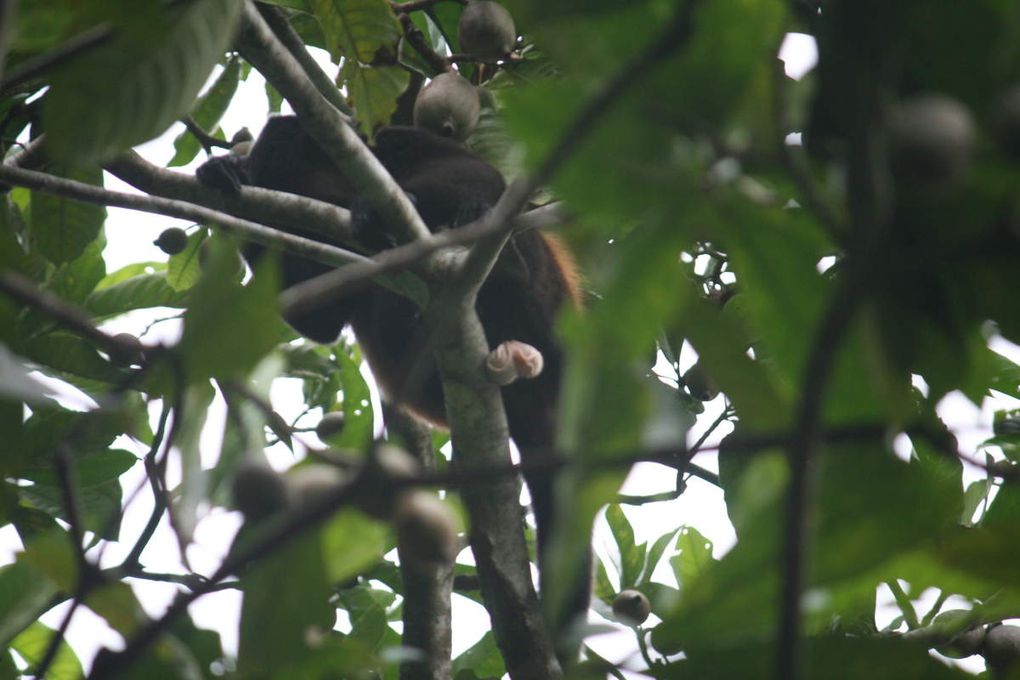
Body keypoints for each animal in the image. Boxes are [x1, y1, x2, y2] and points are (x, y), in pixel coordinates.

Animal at [196, 114, 591, 623]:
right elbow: (319, 317)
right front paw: (223, 172)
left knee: (500, 226)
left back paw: (502, 262)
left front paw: (381, 205)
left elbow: (472, 169)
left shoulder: (388, 137)